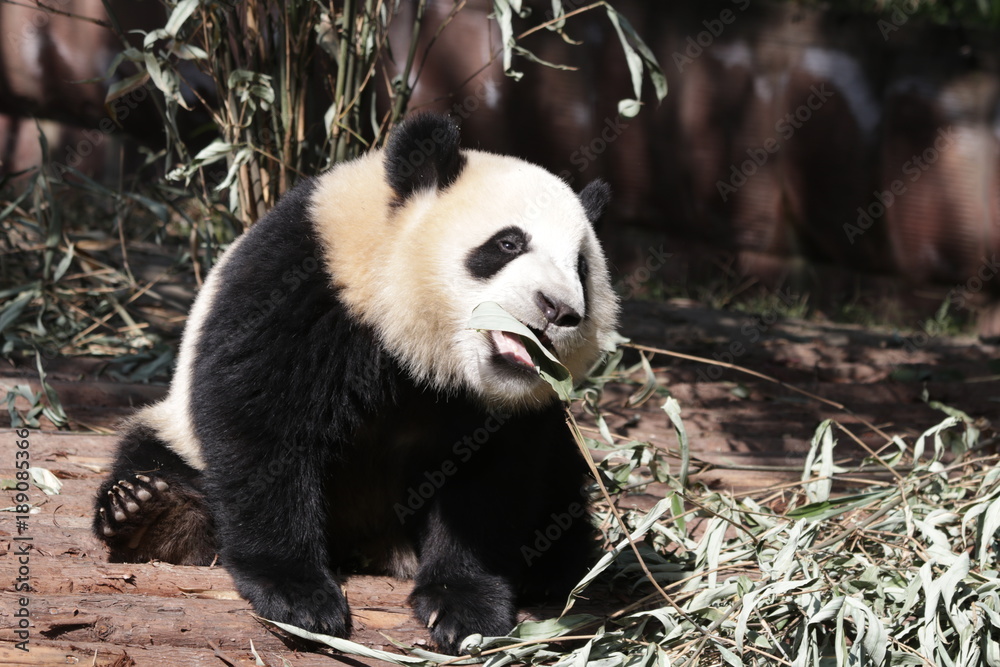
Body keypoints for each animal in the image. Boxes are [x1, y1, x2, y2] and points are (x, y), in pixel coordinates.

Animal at [92, 114, 619, 653]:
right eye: (509, 243)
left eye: (581, 267)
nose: (559, 309)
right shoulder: (307, 288)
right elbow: (262, 429)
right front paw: (298, 594)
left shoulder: (510, 411)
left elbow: (492, 481)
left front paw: (462, 605)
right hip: (177, 426)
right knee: (151, 450)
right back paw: (153, 515)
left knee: (562, 491)